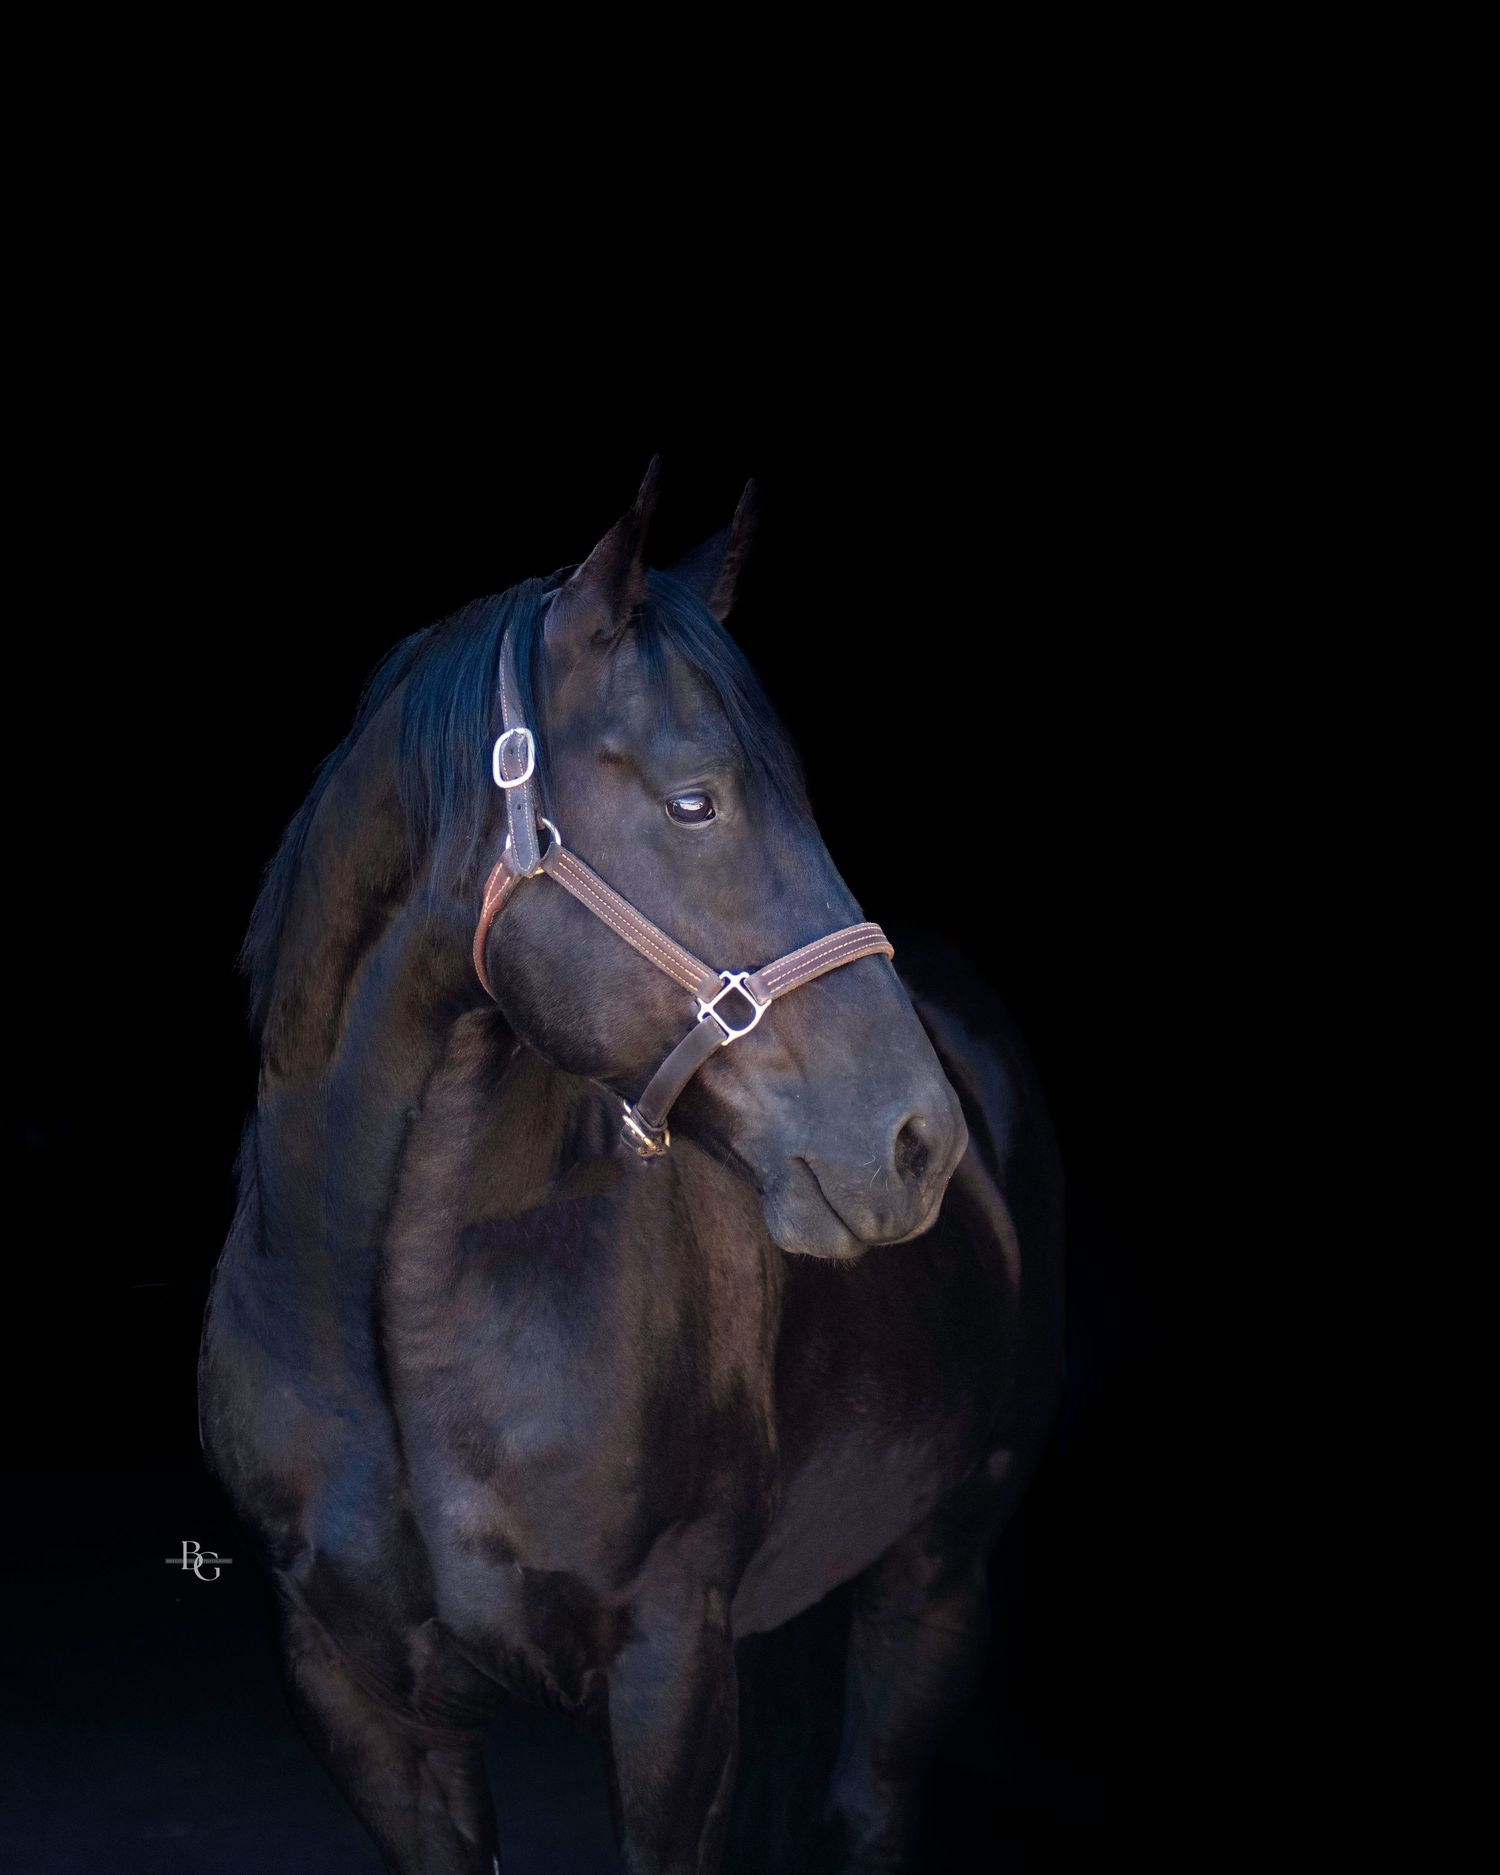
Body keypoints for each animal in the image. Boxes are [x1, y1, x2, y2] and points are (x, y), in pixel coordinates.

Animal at [199, 462, 1064, 1875]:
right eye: (694, 800)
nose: (915, 1143)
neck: (393, 1334)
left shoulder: (669, 1671)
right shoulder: (363, 1705)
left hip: (938, 1580)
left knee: (874, 1798)